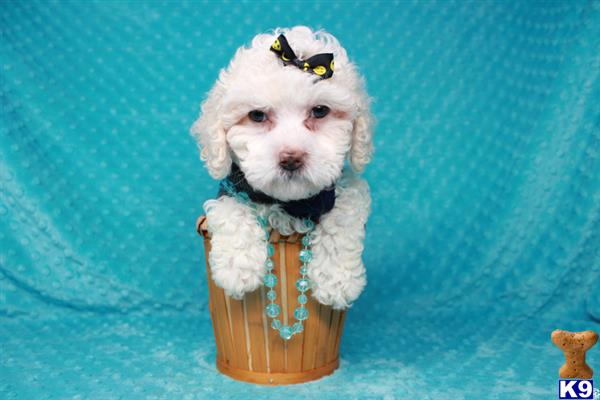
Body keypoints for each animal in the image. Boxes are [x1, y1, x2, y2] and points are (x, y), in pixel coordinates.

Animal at [191, 26, 370, 310]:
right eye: (257, 115)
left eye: (320, 111)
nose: (291, 158)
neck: (291, 205)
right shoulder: (232, 186)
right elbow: (231, 207)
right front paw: (237, 268)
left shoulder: (345, 187)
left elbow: (344, 214)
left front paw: (337, 280)